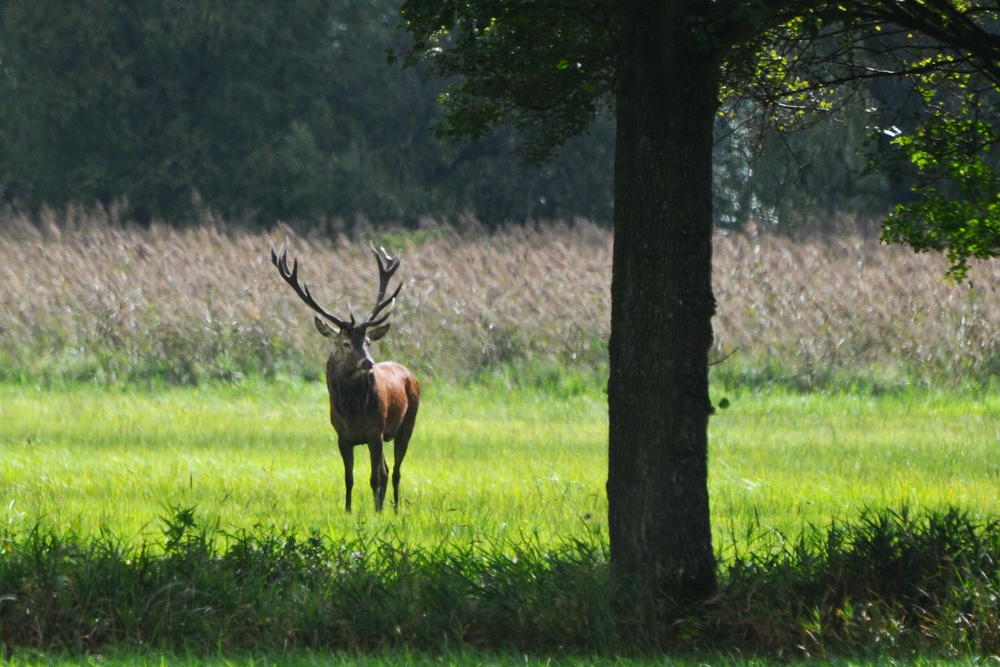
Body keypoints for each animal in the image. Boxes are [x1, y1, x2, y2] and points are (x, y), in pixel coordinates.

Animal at [271, 240, 420, 513]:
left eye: (368, 341)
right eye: (345, 343)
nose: (368, 363)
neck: (353, 413)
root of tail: (410, 374)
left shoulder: (375, 431)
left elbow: (375, 477)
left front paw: (377, 513)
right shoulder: (342, 436)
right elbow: (348, 478)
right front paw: (348, 511)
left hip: (407, 424)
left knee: (394, 472)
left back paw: (393, 509)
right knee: (387, 470)